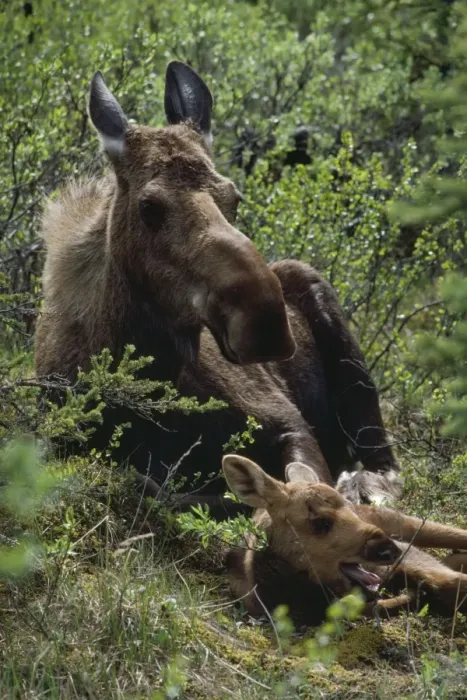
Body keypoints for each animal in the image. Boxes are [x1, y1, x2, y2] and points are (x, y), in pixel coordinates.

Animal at [35, 61, 401, 510]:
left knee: (384, 459)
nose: (265, 324)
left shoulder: (286, 419)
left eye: (234, 197)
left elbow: (298, 483)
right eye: (149, 206)